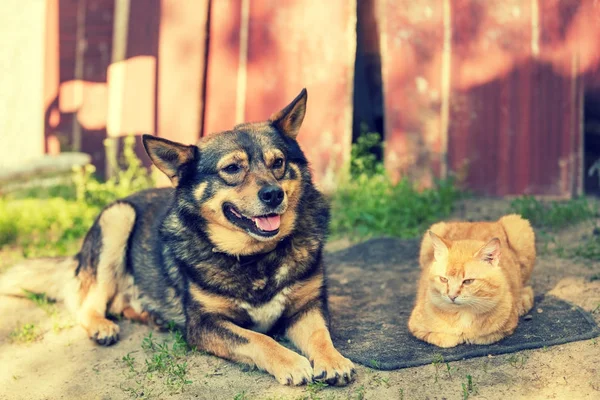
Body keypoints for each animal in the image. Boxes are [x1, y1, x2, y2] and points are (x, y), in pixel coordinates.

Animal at [0, 89, 354, 386]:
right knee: (87, 304)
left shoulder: (307, 308)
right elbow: (258, 338)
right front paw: (291, 362)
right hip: (118, 217)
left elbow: (321, 335)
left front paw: (334, 361)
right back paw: (103, 326)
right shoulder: (205, 323)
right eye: (232, 169)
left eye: (278, 162)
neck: (256, 257)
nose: (273, 195)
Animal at [408, 214, 536, 348]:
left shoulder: (505, 328)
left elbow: (480, 337)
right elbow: (447, 339)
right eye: (443, 279)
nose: (451, 296)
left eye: (468, 281)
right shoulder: (416, 327)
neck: (463, 313)